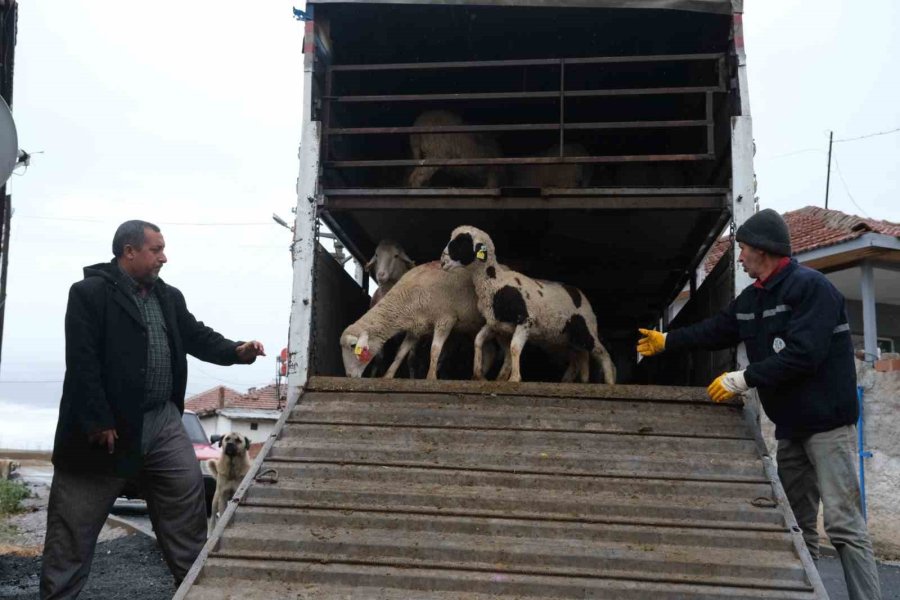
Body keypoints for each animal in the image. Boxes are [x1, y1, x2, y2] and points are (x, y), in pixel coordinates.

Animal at [340, 258, 492, 380]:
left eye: (353, 345)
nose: (349, 375)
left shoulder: (446, 320)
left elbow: (435, 350)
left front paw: (431, 377)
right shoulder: (415, 329)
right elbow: (400, 353)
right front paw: (388, 376)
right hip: (473, 327)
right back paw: (481, 376)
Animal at [442, 225, 620, 384]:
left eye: (462, 242)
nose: (442, 261)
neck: (496, 282)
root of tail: (577, 292)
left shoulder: (525, 320)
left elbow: (514, 348)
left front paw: (514, 378)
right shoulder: (495, 323)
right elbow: (478, 340)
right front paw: (478, 375)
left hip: (586, 328)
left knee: (602, 352)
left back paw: (609, 382)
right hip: (568, 336)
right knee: (580, 356)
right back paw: (576, 381)